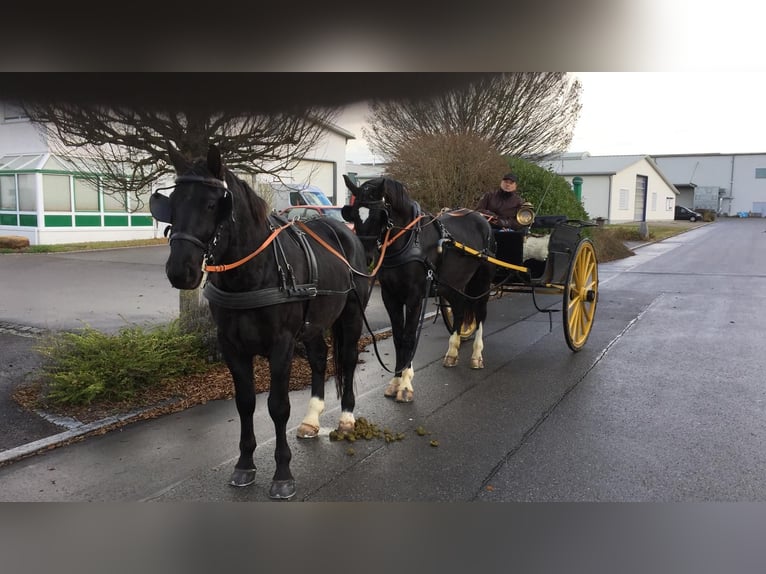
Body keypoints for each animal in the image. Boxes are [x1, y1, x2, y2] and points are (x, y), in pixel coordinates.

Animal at [151, 145, 372, 500]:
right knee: (319, 359)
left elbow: (277, 406)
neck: (254, 271)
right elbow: (245, 403)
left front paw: (282, 473)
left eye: (212, 204)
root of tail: (344, 234)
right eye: (172, 203)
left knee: (348, 360)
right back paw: (311, 419)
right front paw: (244, 465)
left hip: (350, 317)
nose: (180, 271)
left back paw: (347, 417)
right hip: (312, 324)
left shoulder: (281, 345)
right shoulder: (232, 346)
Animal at [344, 176, 498, 404]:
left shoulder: (415, 297)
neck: (406, 242)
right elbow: (398, 337)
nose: (366, 258)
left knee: (479, 314)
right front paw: (395, 381)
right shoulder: (390, 296)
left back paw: (477, 355)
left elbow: (409, 337)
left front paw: (405, 385)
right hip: (452, 285)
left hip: (482, 282)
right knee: (460, 309)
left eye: (381, 215)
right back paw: (452, 352)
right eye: (353, 214)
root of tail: (482, 219)